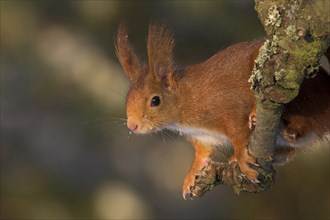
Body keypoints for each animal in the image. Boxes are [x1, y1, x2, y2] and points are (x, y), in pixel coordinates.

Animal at [115, 23, 330, 197]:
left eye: (155, 101)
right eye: (127, 98)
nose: (132, 126)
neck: (187, 100)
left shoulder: (228, 108)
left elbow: (238, 134)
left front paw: (241, 156)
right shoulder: (203, 136)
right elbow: (202, 154)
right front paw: (191, 174)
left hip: (302, 98)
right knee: (292, 150)